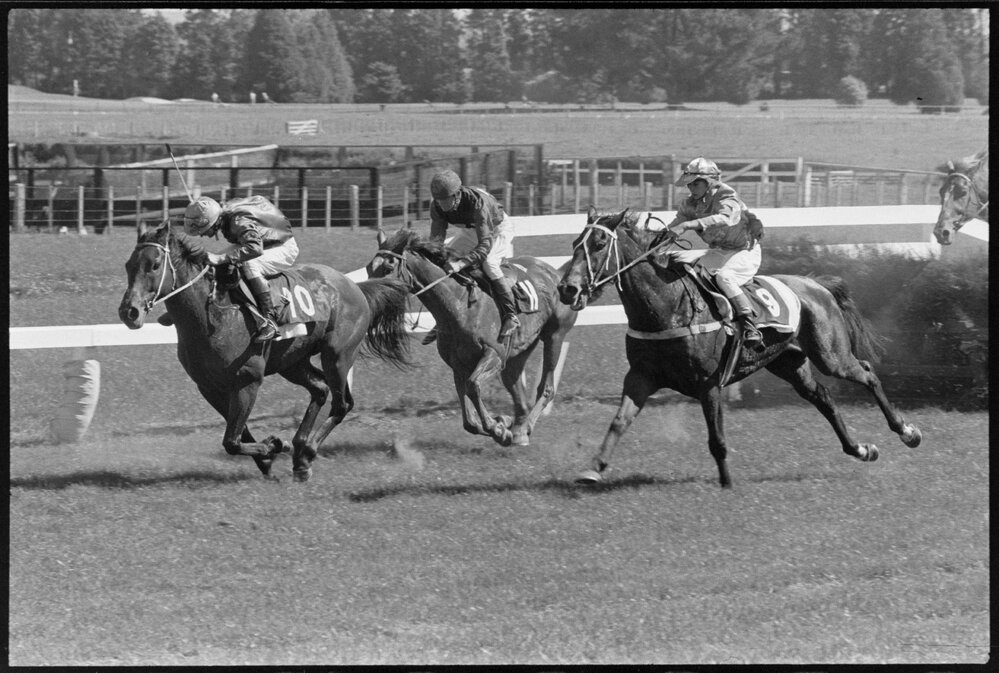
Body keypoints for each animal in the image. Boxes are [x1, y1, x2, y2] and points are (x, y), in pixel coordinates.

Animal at [118, 220, 413, 482]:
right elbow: (238, 433)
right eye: (128, 265)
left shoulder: (248, 380)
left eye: (155, 265)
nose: (129, 312)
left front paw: (274, 446)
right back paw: (300, 453)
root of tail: (355, 286)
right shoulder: (209, 387)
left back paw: (307, 452)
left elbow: (232, 441)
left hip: (337, 356)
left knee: (342, 403)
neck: (212, 316)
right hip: (292, 362)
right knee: (319, 389)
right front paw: (267, 457)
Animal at [366, 227, 578, 446]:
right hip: (520, 348)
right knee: (514, 383)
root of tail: (556, 273)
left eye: (389, 266)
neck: (459, 305)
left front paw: (498, 428)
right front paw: (502, 423)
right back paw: (519, 429)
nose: (370, 297)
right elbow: (469, 420)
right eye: (368, 268)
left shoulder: (493, 354)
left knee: (546, 387)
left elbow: (473, 386)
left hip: (554, 335)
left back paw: (523, 427)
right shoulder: (459, 363)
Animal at [556, 206, 922, 488]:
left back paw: (906, 431)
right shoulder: (641, 377)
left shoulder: (708, 383)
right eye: (575, 243)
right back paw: (860, 449)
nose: (567, 288)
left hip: (831, 355)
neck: (668, 307)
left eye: (600, 243)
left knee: (867, 373)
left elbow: (716, 439)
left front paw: (726, 483)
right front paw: (593, 468)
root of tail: (816, 283)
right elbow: (619, 422)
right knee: (823, 398)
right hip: (789, 362)